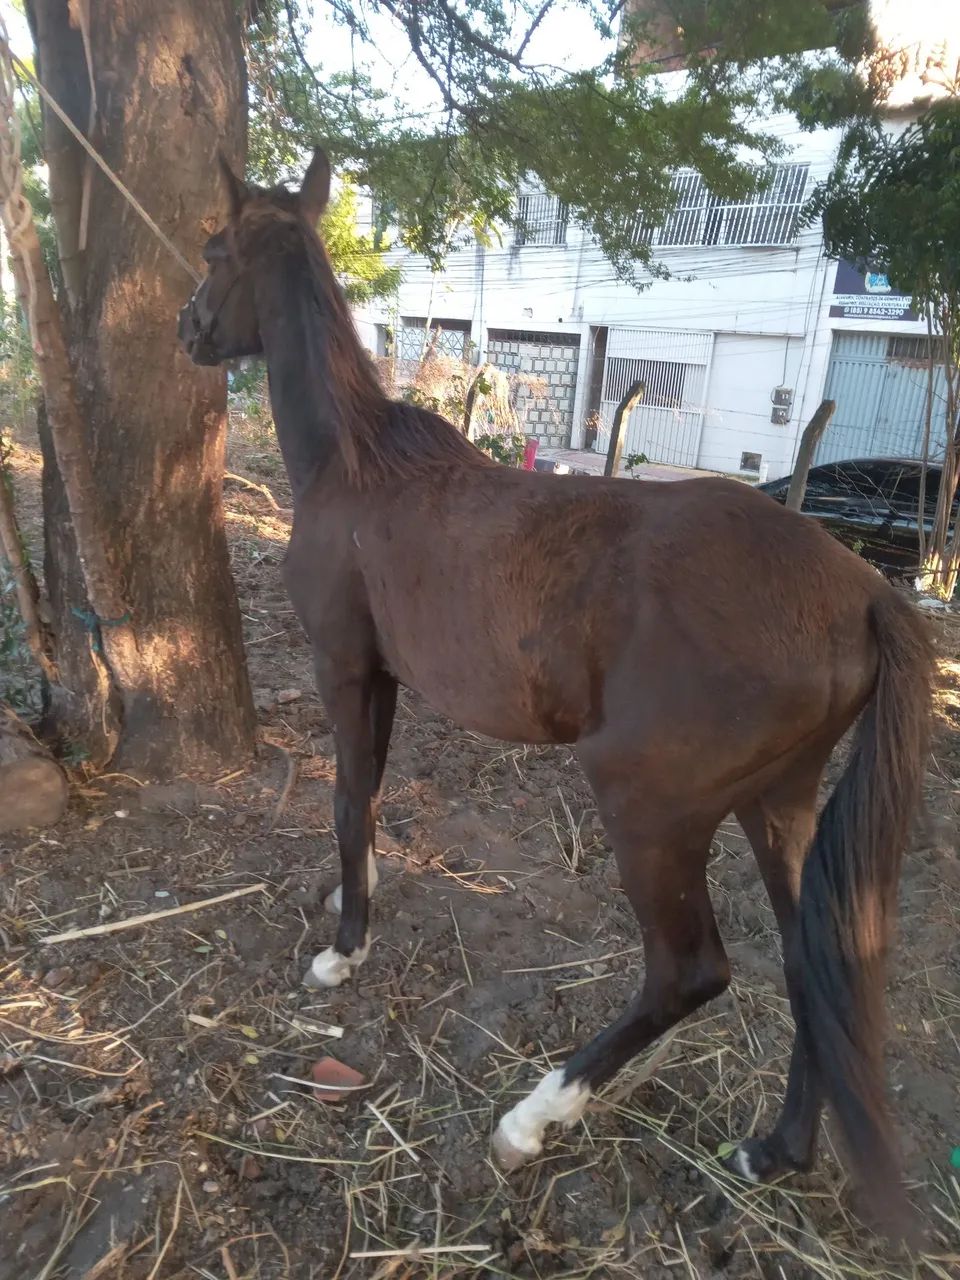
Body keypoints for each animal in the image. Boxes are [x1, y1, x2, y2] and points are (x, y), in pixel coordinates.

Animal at [178, 147, 934, 1238]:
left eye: (213, 250)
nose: (189, 328)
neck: (357, 465)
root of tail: (865, 588)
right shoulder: (386, 678)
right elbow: (369, 799)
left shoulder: (345, 667)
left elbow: (348, 800)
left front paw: (341, 952)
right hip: (777, 804)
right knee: (811, 964)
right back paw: (776, 1150)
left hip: (649, 805)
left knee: (690, 971)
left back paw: (533, 1116)